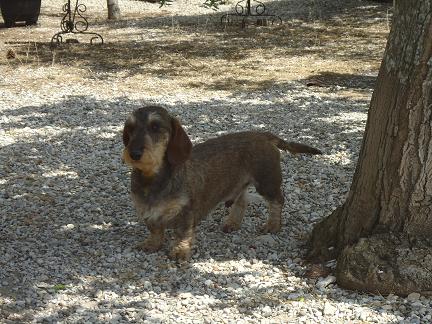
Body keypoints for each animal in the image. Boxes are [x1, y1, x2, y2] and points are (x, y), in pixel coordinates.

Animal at [121, 105, 320, 260]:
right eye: (130, 128)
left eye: (155, 127)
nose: (134, 153)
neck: (153, 179)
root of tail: (262, 135)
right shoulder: (147, 212)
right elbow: (155, 230)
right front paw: (151, 244)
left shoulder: (186, 212)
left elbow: (182, 233)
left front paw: (179, 251)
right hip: (241, 182)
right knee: (242, 201)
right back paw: (232, 222)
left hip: (267, 182)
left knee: (277, 201)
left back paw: (273, 225)